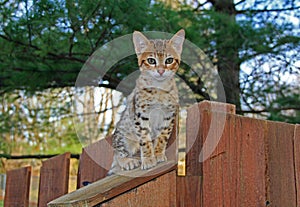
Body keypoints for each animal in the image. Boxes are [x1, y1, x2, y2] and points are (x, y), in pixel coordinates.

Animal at [106, 29, 184, 175]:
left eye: (169, 60)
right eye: (151, 60)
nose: (161, 70)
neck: (159, 88)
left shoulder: (169, 115)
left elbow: (162, 137)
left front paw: (158, 154)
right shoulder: (141, 115)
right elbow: (145, 139)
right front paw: (148, 159)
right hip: (122, 134)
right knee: (117, 154)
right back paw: (128, 161)